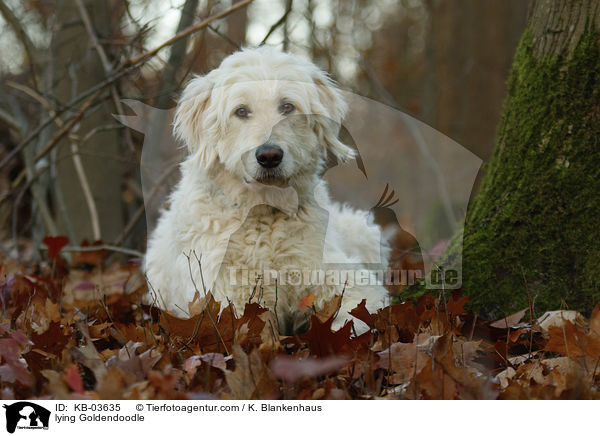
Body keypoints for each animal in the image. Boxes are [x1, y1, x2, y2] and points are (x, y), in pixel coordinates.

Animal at [145, 46, 390, 334]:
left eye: (287, 106)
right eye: (241, 111)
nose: (269, 156)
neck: (264, 213)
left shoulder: (342, 279)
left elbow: (357, 316)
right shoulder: (229, 301)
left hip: (365, 231)